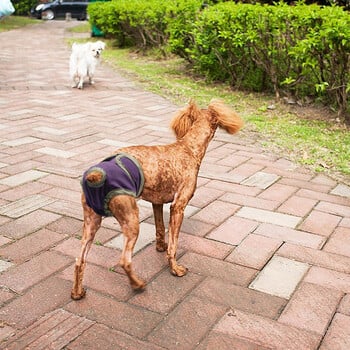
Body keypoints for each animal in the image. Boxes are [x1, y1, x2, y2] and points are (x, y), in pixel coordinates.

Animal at [69, 100, 242, 300]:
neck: (188, 148)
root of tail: (95, 176)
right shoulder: (178, 207)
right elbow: (174, 244)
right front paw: (175, 268)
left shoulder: (157, 203)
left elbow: (160, 229)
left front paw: (160, 247)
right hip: (130, 219)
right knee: (124, 260)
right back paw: (138, 284)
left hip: (91, 221)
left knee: (79, 260)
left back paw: (77, 293)